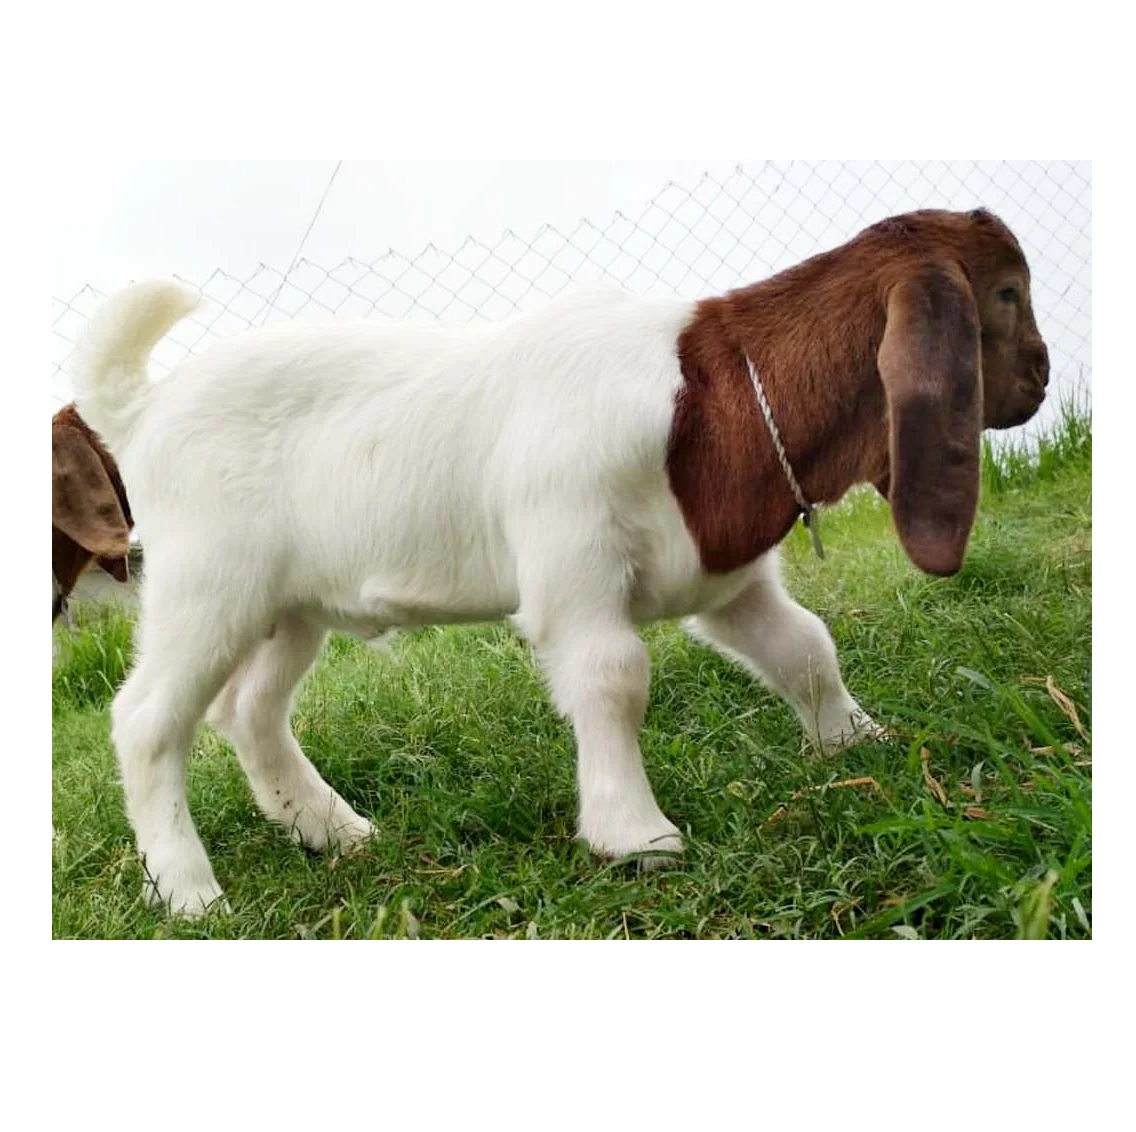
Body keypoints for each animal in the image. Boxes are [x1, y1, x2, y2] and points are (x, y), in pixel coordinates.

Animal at [71, 208, 1048, 915]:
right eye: (1005, 293)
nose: (1043, 379)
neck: (710, 395)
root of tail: (142, 412)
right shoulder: (574, 563)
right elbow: (613, 678)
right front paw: (637, 835)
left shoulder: (725, 578)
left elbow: (804, 646)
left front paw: (861, 744)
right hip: (208, 587)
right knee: (149, 720)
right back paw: (190, 891)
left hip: (289, 606)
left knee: (250, 710)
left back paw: (334, 829)